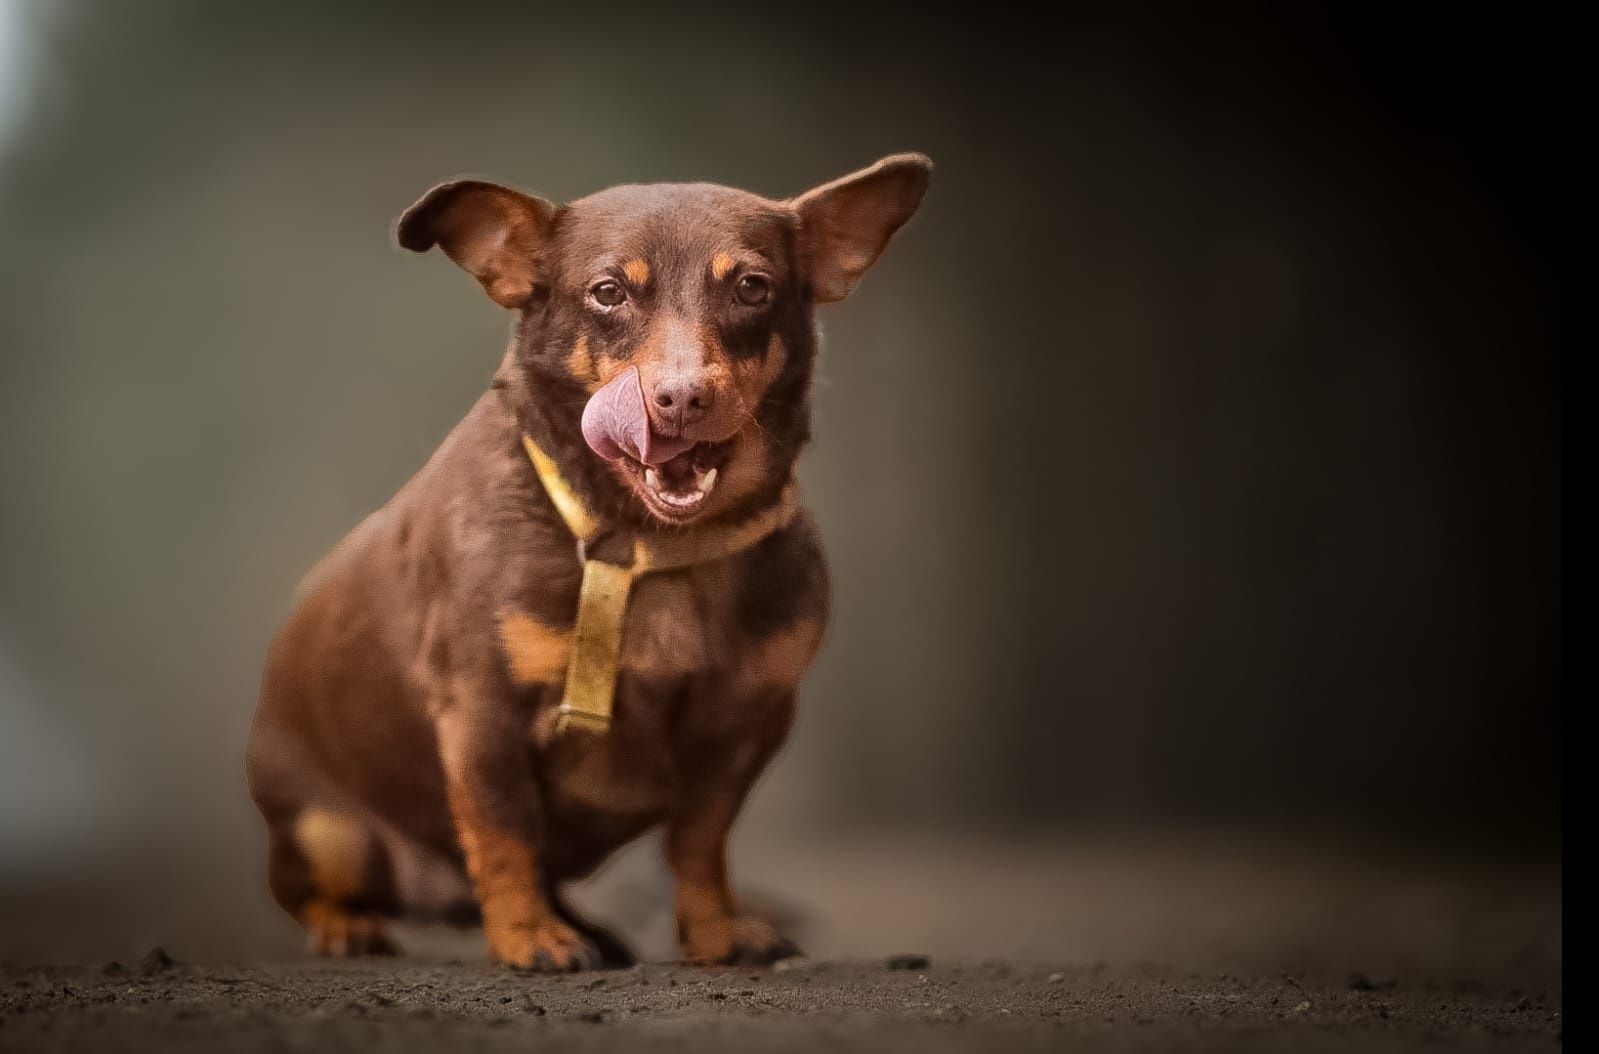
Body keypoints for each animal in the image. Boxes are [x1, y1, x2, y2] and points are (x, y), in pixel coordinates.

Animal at [243, 152, 933, 966]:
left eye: (751, 287)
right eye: (608, 292)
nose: (680, 397)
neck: (649, 546)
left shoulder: (745, 725)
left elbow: (699, 843)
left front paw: (715, 930)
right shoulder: (482, 716)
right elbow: (505, 834)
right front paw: (529, 937)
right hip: (331, 833)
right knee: (311, 888)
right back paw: (351, 926)